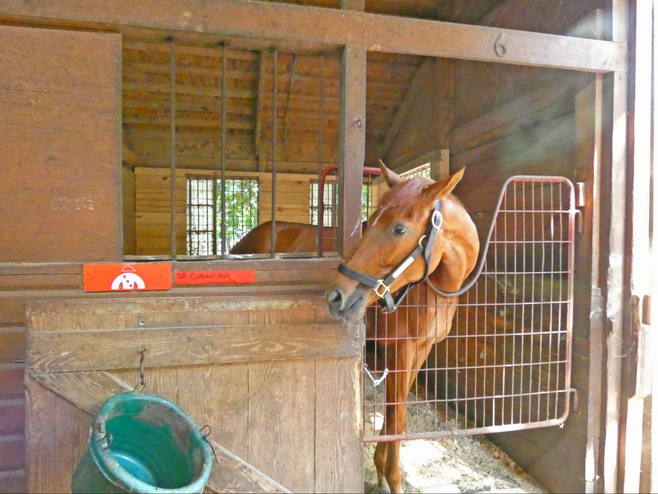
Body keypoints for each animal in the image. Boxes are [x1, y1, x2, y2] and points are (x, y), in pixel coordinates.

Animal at [326, 161, 479, 493]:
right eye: (369, 222)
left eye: (399, 229)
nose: (335, 296)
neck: (434, 291)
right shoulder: (399, 350)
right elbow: (396, 414)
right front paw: (391, 477)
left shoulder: (418, 351)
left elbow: (397, 414)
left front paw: (382, 469)